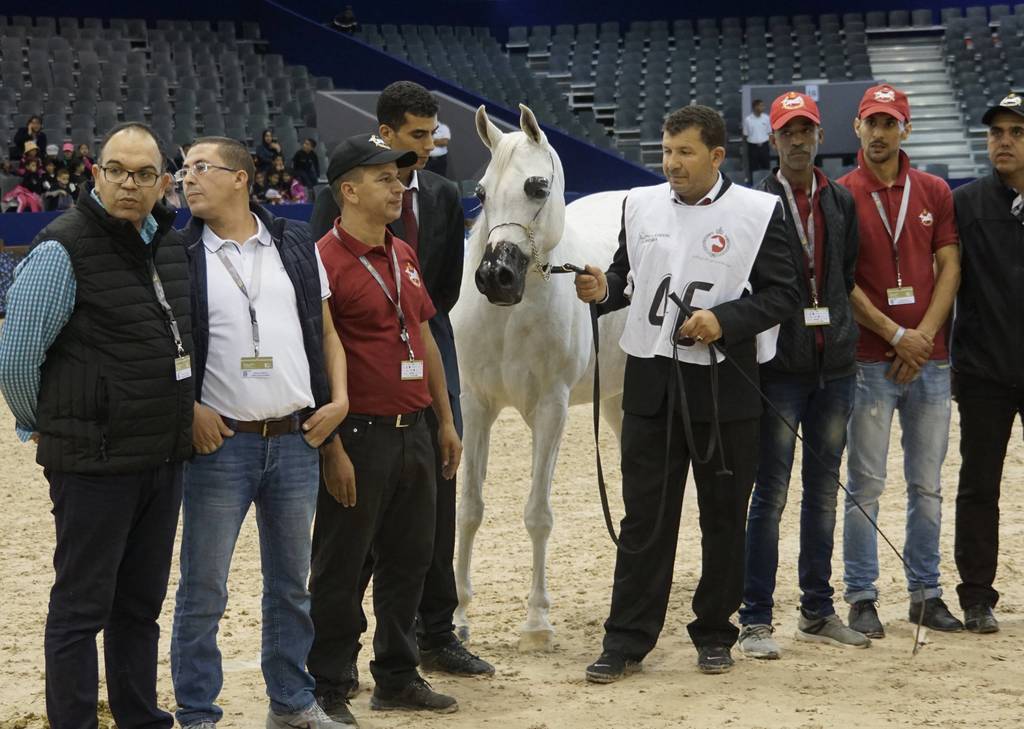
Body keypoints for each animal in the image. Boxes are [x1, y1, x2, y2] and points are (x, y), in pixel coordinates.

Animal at [450, 103, 629, 650]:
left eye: (537, 186)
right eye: (481, 193)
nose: (495, 277)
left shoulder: (551, 410)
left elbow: (537, 514)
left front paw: (536, 623)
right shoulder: (476, 405)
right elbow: (469, 508)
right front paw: (458, 617)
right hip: (616, 402)